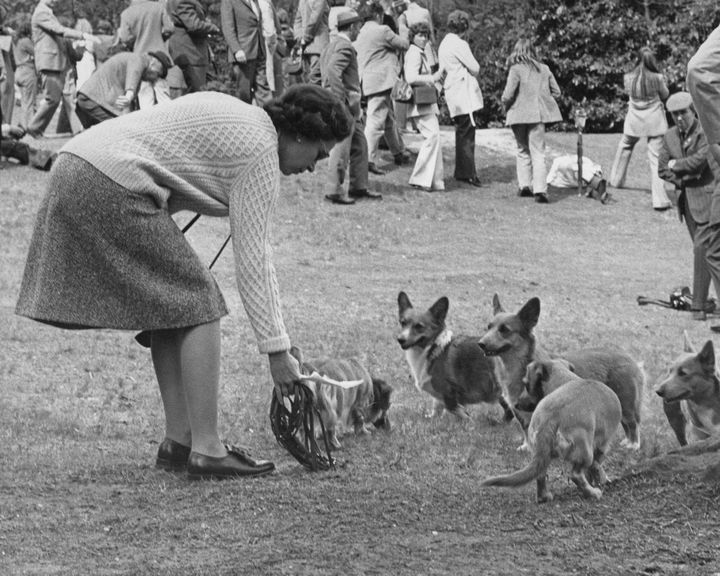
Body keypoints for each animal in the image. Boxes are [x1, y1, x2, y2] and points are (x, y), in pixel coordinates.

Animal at [480, 296, 644, 450]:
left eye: (505, 330)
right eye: (488, 327)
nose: (480, 344)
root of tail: (631, 359)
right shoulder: (519, 409)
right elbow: (526, 430)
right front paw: (526, 447)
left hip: (626, 404)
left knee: (633, 423)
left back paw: (633, 445)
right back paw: (627, 442)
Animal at [480, 380, 620, 502]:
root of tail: (549, 418)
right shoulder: (602, 445)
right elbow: (596, 465)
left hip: (543, 455)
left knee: (540, 476)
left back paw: (544, 497)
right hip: (585, 453)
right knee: (575, 475)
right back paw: (593, 493)